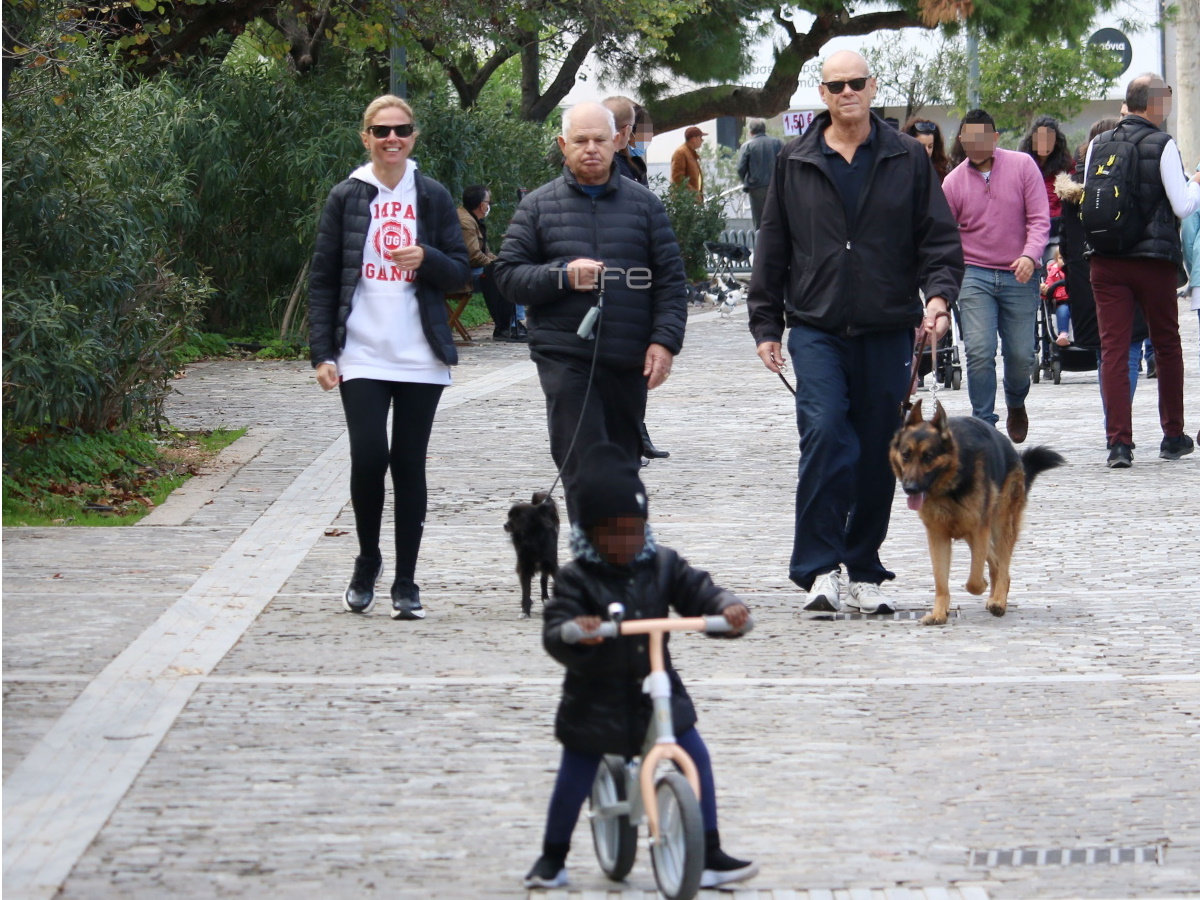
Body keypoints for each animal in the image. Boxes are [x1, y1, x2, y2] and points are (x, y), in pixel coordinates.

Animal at [888, 400, 1065, 628]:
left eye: (928, 457)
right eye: (905, 455)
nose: (909, 488)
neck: (950, 485)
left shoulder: (978, 529)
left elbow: (973, 581)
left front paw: (981, 586)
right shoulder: (938, 536)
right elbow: (940, 581)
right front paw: (939, 613)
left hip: (1000, 525)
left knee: (1002, 566)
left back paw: (998, 601)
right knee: (995, 562)